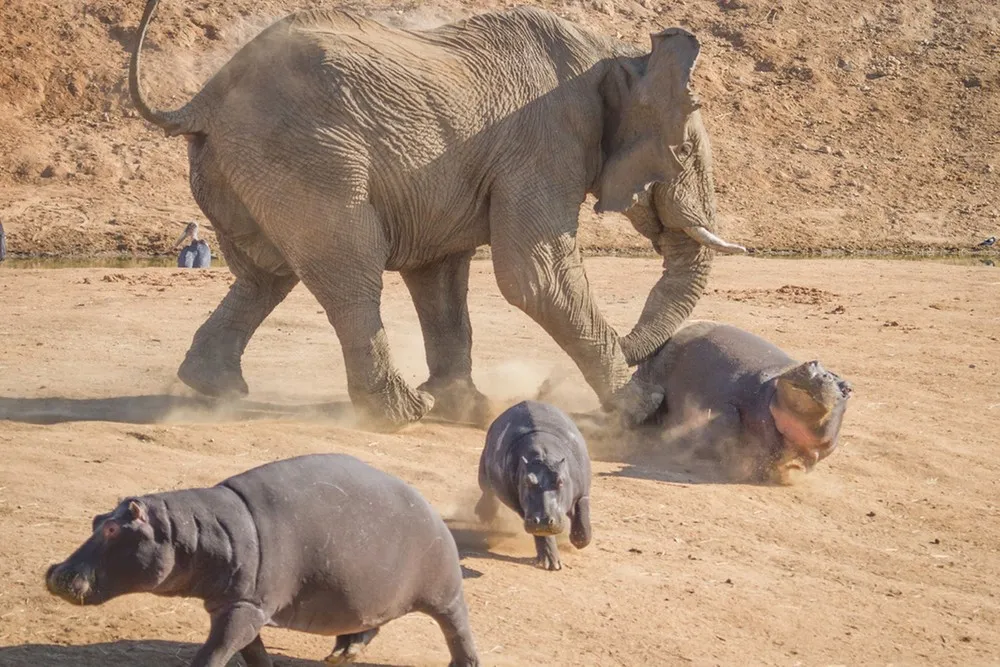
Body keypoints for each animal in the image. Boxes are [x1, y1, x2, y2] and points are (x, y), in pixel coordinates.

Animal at [45, 453, 480, 667]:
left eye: (112, 529)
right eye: (96, 519)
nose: (56, 573)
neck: (192, 531)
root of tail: (429, 506)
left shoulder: (245, 607)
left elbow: (216, 651)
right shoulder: (237, 605)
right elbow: (251, 651)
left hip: (445, 593)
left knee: (457, 629)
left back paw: (466, 664)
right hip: (368, 594)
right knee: (368, 623)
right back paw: (342, 655)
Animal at [128, 0, 746, 431]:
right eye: (684, 151)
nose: (546, 387)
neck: (619, 54)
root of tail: (205, 97)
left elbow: (441, 277)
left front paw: (469, 409)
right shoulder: (544, 144)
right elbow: (533, 276)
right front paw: (640, 411)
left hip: (241, 166)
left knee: (266, 276)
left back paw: (215, 389)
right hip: (306, 157)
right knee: (349, 271)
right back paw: (401, 414)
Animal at [475, 400, 592, 571]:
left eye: (560, 481)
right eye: (527, 481)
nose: (542, 520)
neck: (543, 457)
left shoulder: (583, 492)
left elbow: (583, 515)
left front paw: (578, 541)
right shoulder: (524, 509)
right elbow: (543, 536)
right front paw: (552, 564)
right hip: (483, 468)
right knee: (487, 492)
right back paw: (484, 515)